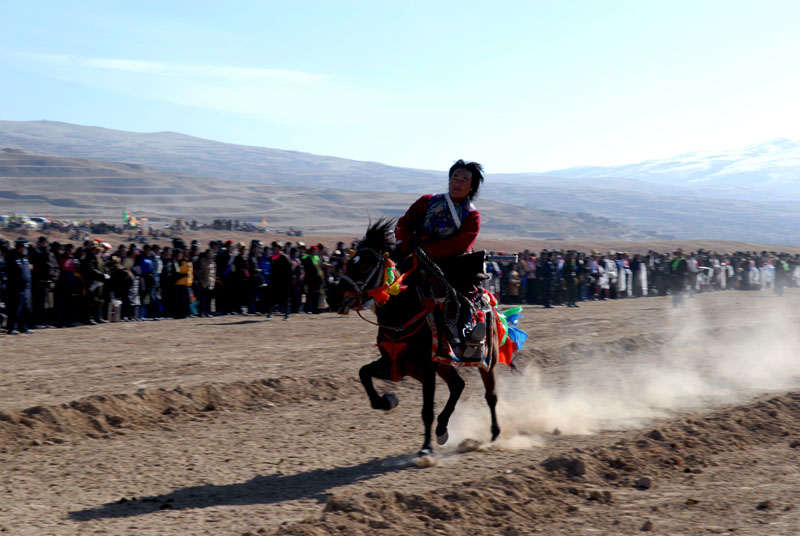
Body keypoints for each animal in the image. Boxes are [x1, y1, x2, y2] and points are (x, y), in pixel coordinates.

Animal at [324, 220, 500, 454]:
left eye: (365, 267)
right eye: (348, 263)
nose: (333, 299)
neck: (402, 313)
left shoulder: (426, 369)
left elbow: (426, 410)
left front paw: (425, 449)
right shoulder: (395, 363)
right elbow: (363, 373)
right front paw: (387, 401)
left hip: (487, 360)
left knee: (490, 395)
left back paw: (494, 433)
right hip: (444, 365)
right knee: (458, 385)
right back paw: (442, 430)